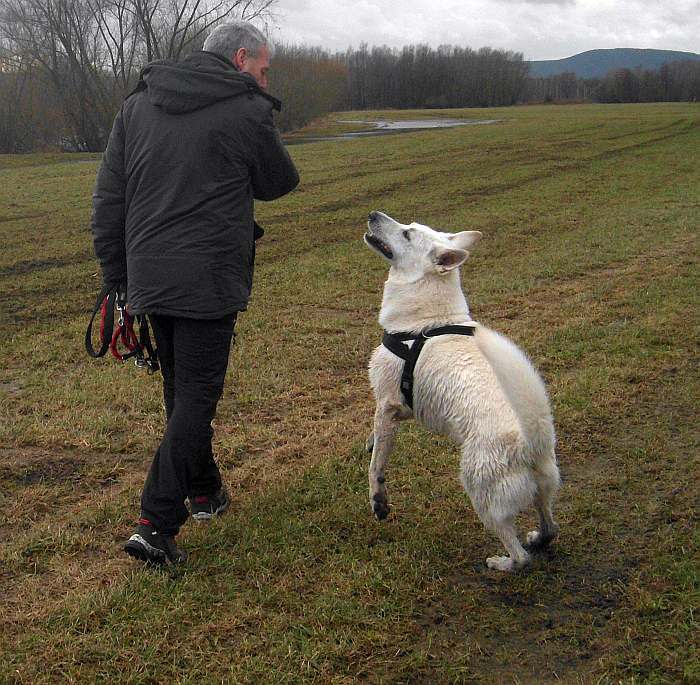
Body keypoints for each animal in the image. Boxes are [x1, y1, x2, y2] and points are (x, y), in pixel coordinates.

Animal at [364, 210, 560, 572]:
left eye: (408, 234)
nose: (373, 214)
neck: (427, 320)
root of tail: (531, 442)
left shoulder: (387, 404)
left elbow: (376, 466)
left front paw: (379, 502)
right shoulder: (401, 408)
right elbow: (374, 441)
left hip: (479, 491)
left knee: (520, 556)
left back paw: (501, 563)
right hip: (542, 489)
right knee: (549, 527)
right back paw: (537, 539)